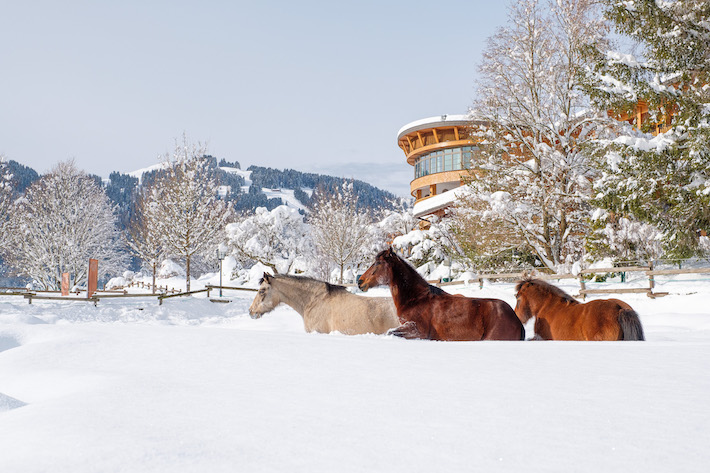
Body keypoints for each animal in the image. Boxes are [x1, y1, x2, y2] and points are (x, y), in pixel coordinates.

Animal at [358, 247, 524, 340]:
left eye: (378, 263)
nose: (360, 282)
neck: (416, 299)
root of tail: (516, 320)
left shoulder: (418, 331)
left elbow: (390, 332)